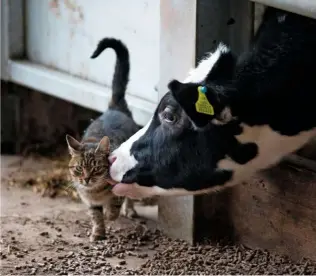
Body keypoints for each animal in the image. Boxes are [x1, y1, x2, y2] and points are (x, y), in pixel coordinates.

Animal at [65, 37, 141, 242]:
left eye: (96, 168)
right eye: (79, 168)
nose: (86, 179)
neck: (95, 192)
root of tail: (115, 107)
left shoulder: (119, 188)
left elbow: (113, 205)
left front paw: (110, 213)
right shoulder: (90, 201)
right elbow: (96, 216)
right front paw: (98, 232)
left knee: (129, 196)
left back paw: (129, 210)